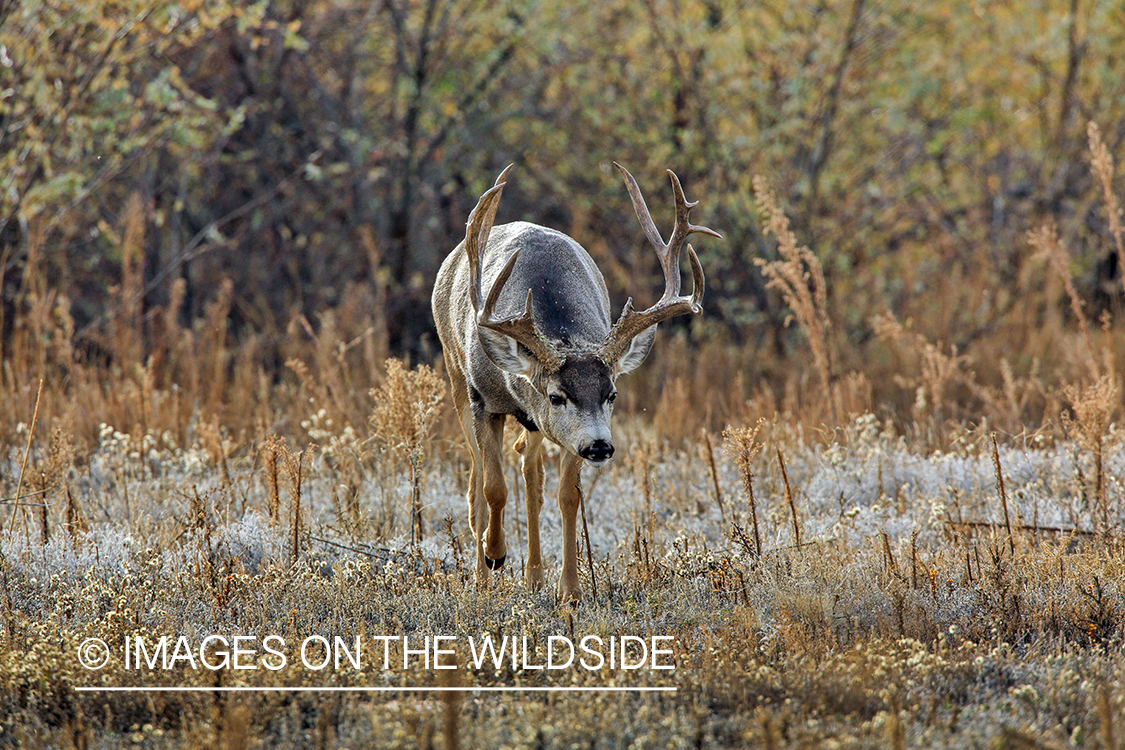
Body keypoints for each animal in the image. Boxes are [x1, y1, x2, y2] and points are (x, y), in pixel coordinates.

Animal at [429, 161, 720, 602]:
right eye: (556, 396)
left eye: (612, 394)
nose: (600, 446)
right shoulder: (484, 401)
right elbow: (494, 488)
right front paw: (494, 554)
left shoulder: (568, 434)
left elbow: (567, 497)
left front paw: (569, 591)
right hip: (454, 374)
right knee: (477, 480)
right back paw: (482, 575)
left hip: (533, 426)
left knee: (530, 471)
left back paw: (533, 576)